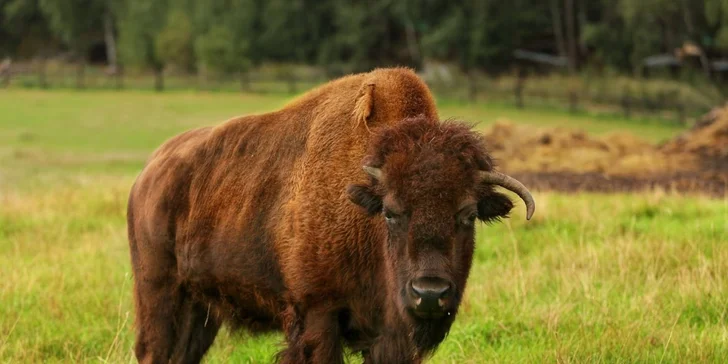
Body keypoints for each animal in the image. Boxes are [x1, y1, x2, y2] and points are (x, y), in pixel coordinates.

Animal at [128, 67, 532, 362]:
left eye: (467, 214)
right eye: (390, 212)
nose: (429, 293)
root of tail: (149, 173)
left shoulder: (390, 337)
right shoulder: (317, 313)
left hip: (200, 306)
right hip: (158, 290)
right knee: (153, 349)